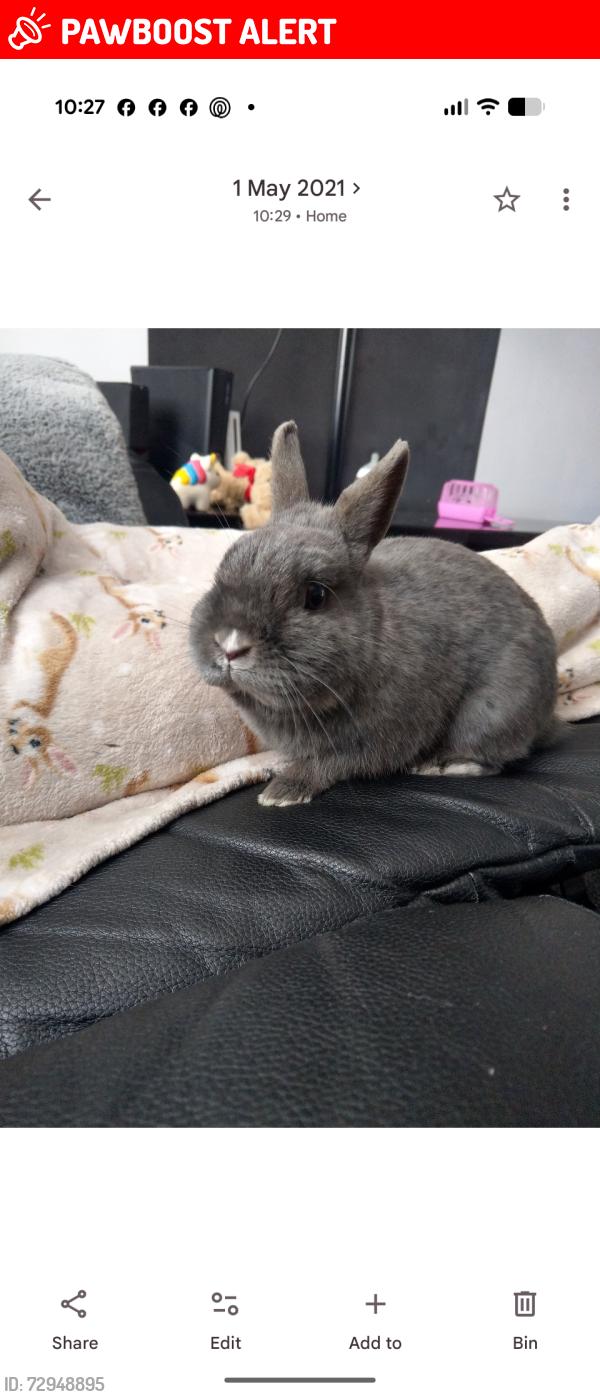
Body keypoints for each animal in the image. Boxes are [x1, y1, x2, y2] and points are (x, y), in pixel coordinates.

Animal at [190, 421, 557, 807]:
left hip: (490, 711)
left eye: (315, 595)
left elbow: (330, 765)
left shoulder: (374, 741)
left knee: (496, 756)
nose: (229, 644)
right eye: (222, 569)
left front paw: (282, 792)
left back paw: (445, 764)